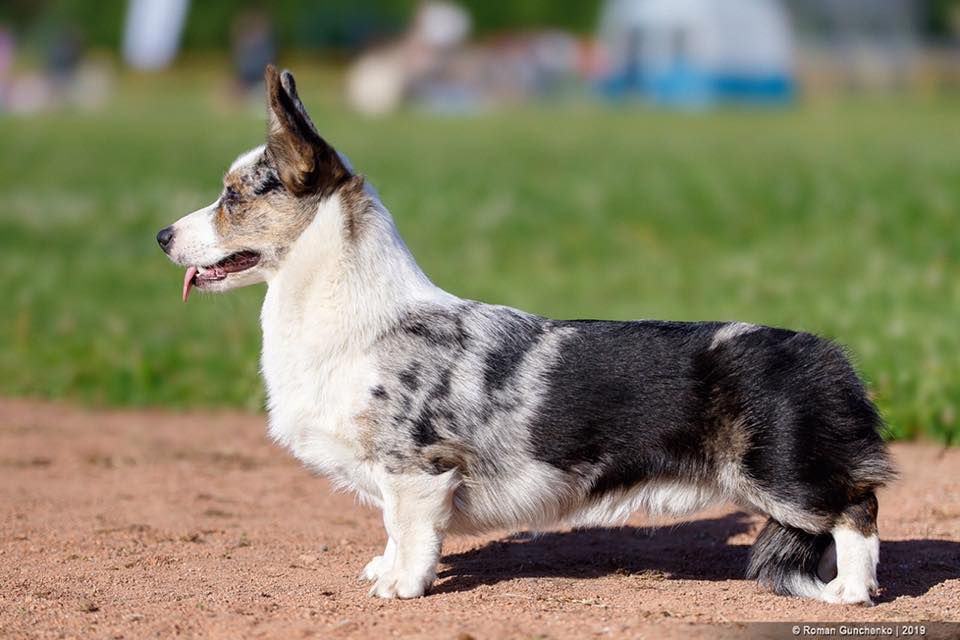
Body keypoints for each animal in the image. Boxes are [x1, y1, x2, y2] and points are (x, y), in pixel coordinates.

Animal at [154, 67, 896, 604]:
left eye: (233, 196)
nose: (160, 235)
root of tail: (832, 357)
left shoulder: (417, 468)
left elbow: (410, 532)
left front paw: (401, 587)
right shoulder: (392, 476)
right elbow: (390, 529)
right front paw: (382, 569)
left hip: (783, 477)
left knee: (857, 509)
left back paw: (852, 591)